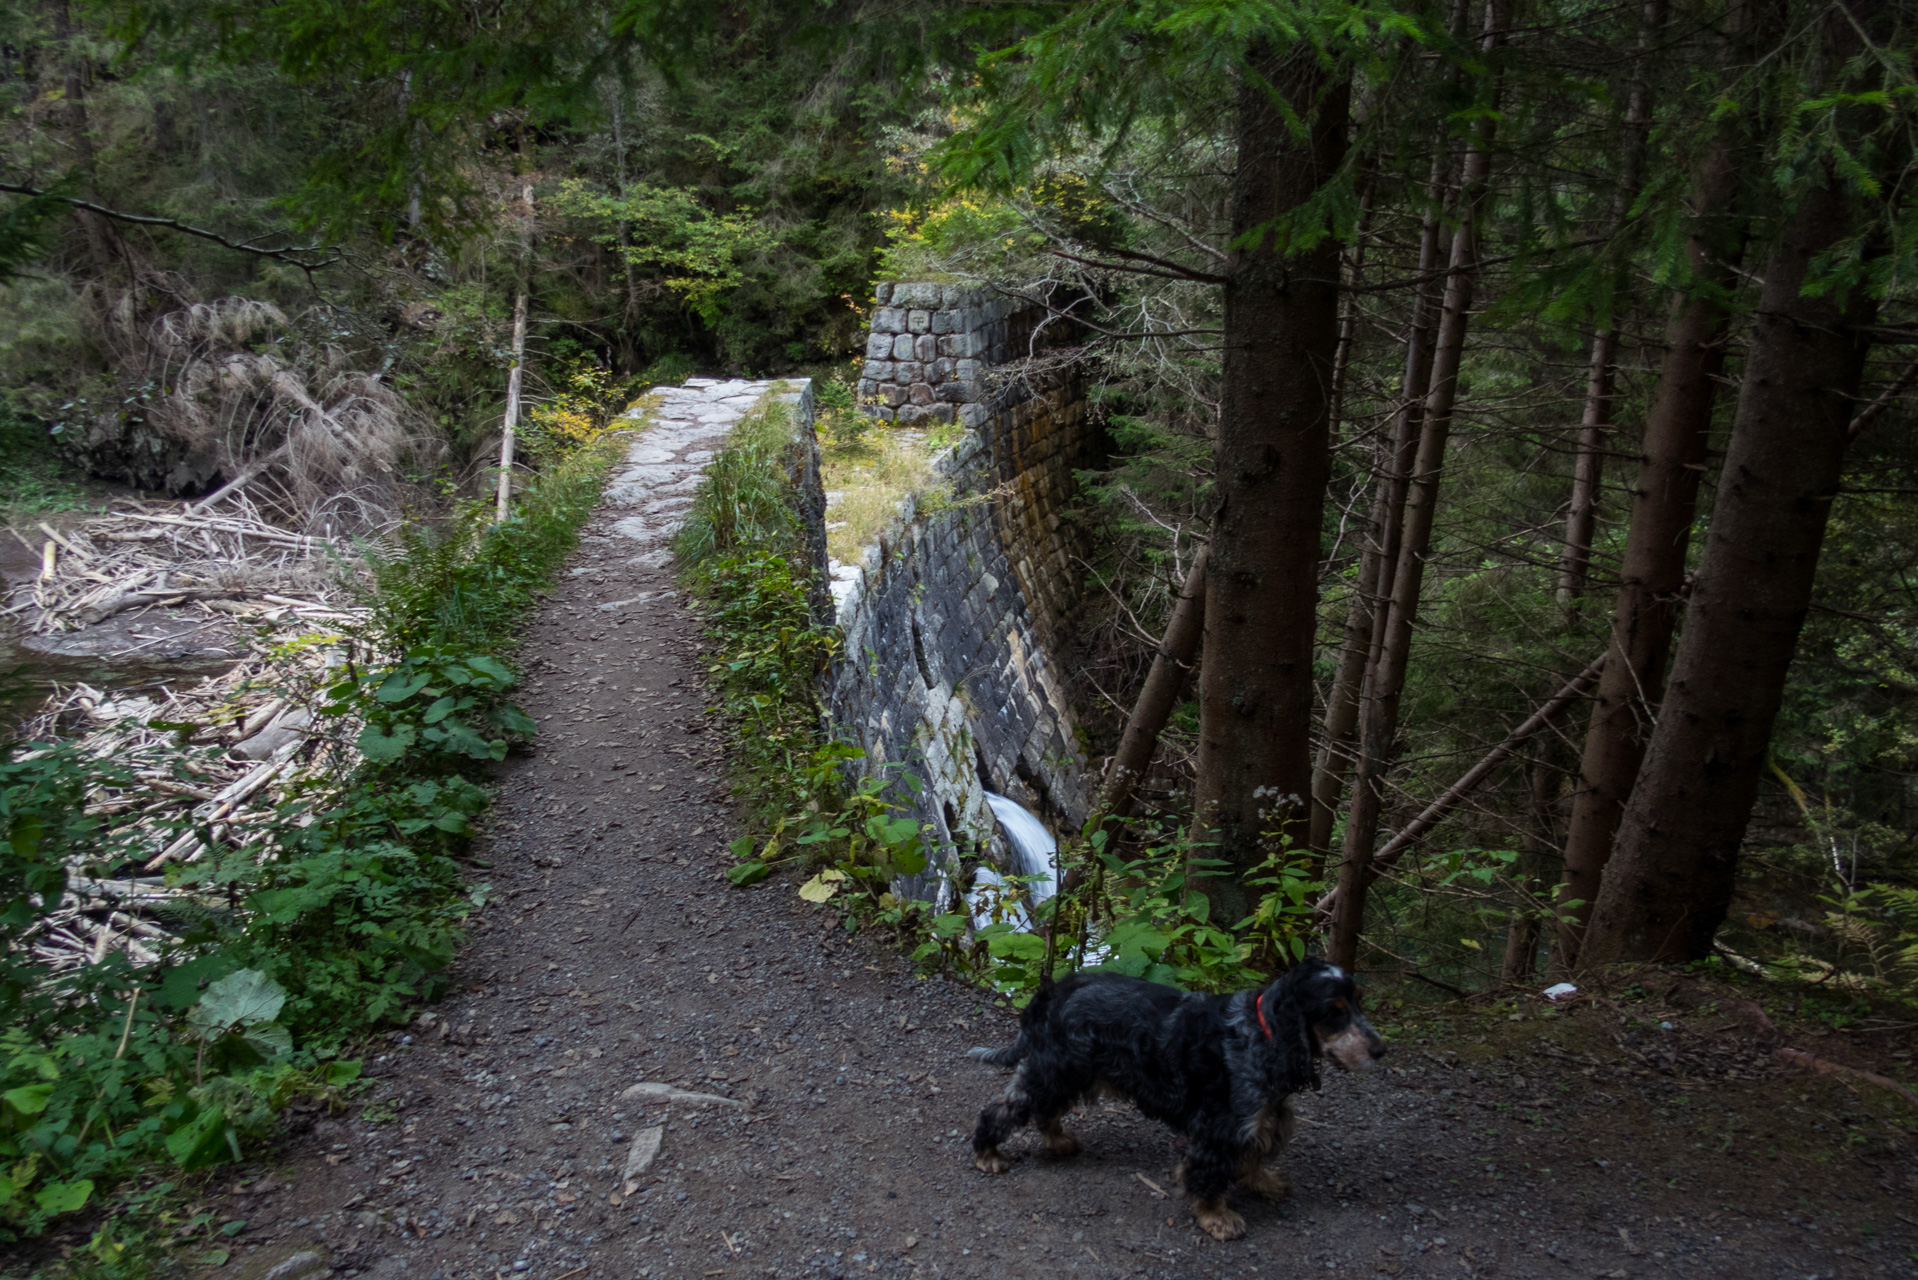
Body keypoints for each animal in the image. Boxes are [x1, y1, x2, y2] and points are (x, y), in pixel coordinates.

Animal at [966, 959, 1388, 1243]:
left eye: (1360, 1004)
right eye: (1333, 1013)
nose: (1381, 1050)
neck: (1263, 1032)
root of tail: (1055, 989)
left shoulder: (1259, 1116)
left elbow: (1253, 1155)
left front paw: (1262, 1182)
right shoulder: (1220, 1127)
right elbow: (1206, 1175)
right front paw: (1217, 1217)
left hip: (1069, 1073)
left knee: (1045, 1111)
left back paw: (1057, 1141)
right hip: (1055, 1070)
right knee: (1000, 1110)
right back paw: (988, 1154)